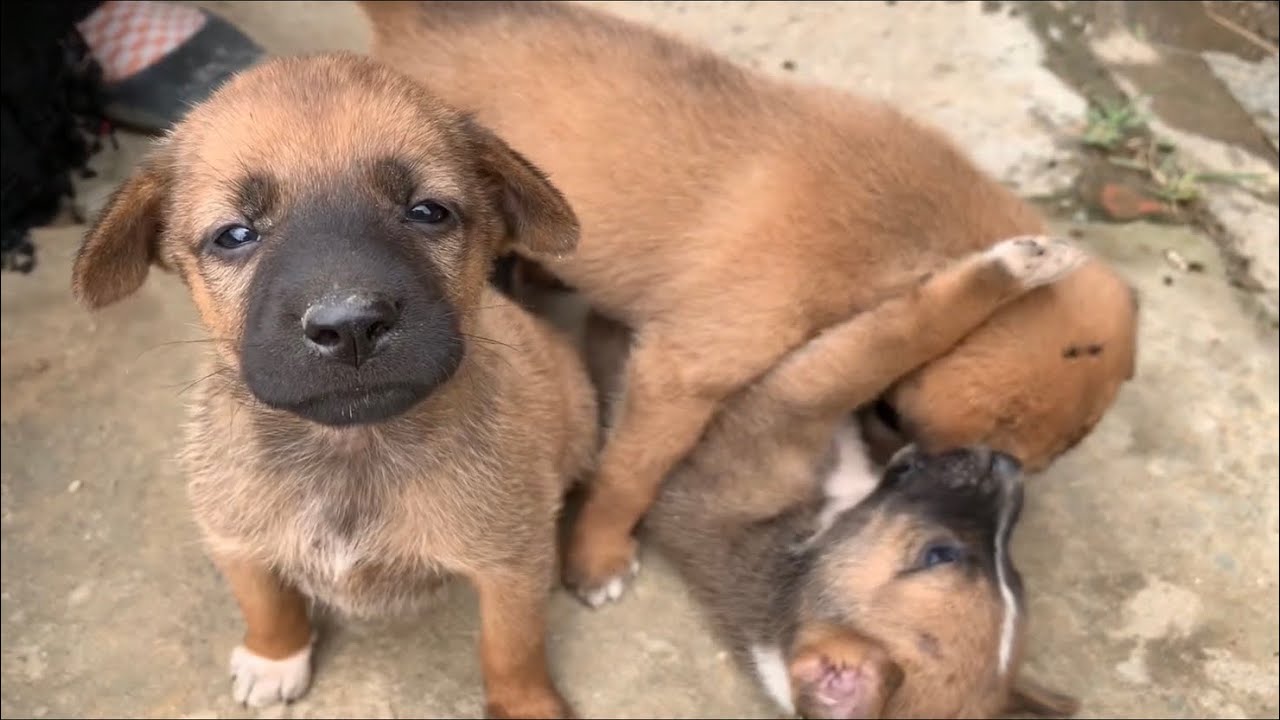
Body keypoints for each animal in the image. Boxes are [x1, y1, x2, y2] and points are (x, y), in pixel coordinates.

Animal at [73, 53, 599, 712]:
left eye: (427, 211)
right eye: (234, 235)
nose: (350, 326)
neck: (351, 449)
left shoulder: (512, 563)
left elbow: (513, 649)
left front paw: (526, 705)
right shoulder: (234, 538)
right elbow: (266, 604)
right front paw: (275, 657)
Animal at [586, 234, 1085, 712]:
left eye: (940, 556)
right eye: (1016, 576)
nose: (1007, 464)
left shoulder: (794, 396)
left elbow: (894, 337)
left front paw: (1021, 264)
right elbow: (901, 339)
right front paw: (1029, 262)